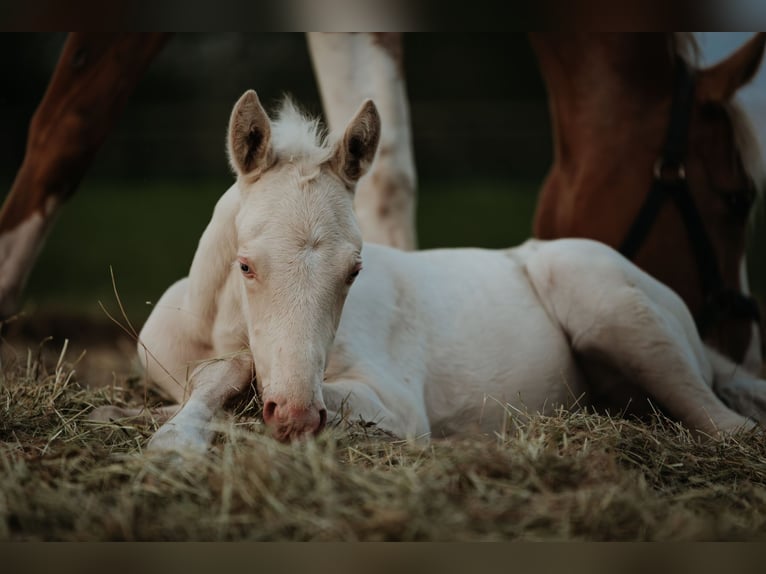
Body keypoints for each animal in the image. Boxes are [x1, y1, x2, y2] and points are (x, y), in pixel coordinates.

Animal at [91, 90, 766, 454]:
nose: (297, 418)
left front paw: (175, 438)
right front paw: (144, 424)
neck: (207, 329)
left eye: (355, 271)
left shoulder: (396, 402)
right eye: (246, 264)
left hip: (611, 309)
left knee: (731, 428)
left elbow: (239, 379)